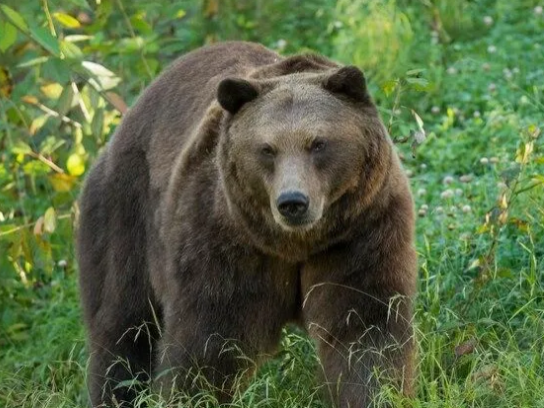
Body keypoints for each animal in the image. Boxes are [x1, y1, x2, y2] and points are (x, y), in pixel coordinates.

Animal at [76, 42, 416, 408]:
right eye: (267, 149)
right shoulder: (224, 240)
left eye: (318, 143)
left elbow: (364, 329)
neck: (294, 243)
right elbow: (208, 343)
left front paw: (378, 392)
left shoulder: (359, 232)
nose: (293, 202)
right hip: (127, 212)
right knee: (124, 320)